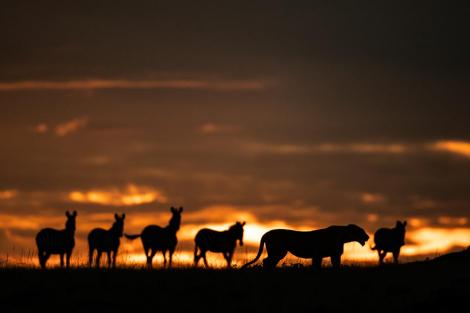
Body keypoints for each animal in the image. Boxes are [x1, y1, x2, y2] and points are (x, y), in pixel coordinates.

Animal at [242, 223, 370, 266]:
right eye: (361, 231)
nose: (368, 237)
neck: (343, 237)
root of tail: (266, 233)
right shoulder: (319, 255)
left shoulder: (333, 255)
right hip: (278, 251)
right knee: (266, 261)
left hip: (278, 253)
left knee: (269, 262)